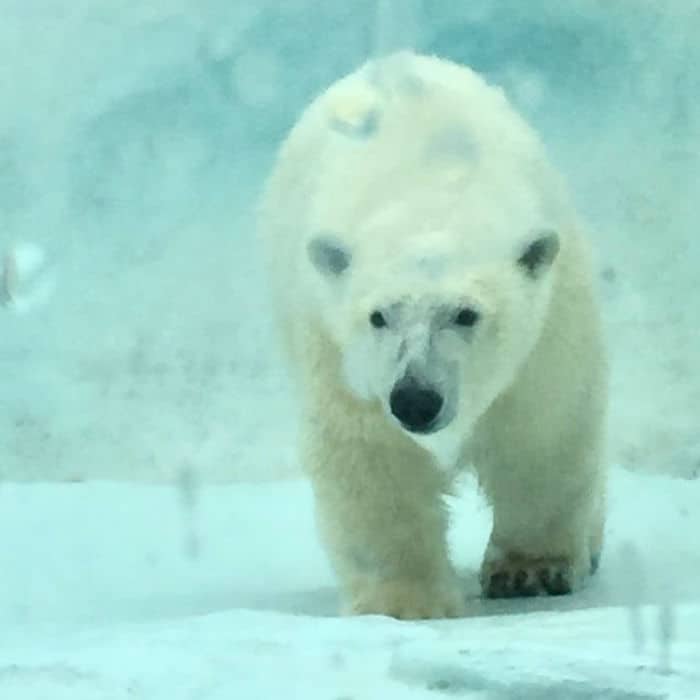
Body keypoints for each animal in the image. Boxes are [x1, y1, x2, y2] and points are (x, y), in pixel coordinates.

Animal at [258, 52, 608, 616]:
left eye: (465, 314)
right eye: (379, 316)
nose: (415, 400)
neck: (428, 184)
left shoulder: (550, 323)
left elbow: (541, 428)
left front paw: (530, 570)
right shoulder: (336, 350)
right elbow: (372, 455)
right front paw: (403, 602)